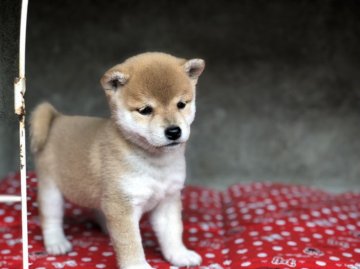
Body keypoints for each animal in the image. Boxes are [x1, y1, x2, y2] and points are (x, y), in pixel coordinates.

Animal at [30, 51, 205, 266]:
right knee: (50, 217)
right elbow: (130, 243)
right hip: (51, 188)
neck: (155, 162)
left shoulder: (168, 199)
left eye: (181, 104)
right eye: (145, 110)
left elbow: (172, 232)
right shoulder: (122, 205)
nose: (174, 131)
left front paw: (180, 254)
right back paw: (56, 243)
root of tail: (58, 118)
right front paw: (137, 266)